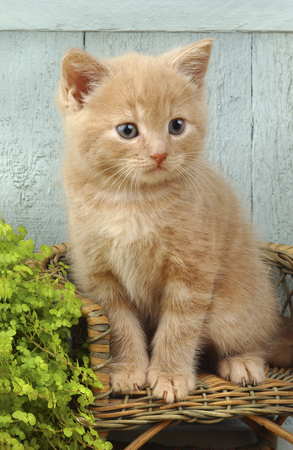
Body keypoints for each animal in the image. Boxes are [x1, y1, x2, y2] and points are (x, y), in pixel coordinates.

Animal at [56, 40, 280, 402]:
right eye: (128, 130)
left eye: (177, 126)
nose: (160, 154)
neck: (132, 200)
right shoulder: (99, 276)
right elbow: (121, 326)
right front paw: (128, 370)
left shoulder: (193, 271)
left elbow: (179, 327)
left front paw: (170, 376)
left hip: (232, 312)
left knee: (254, 336)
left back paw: (243, 361)